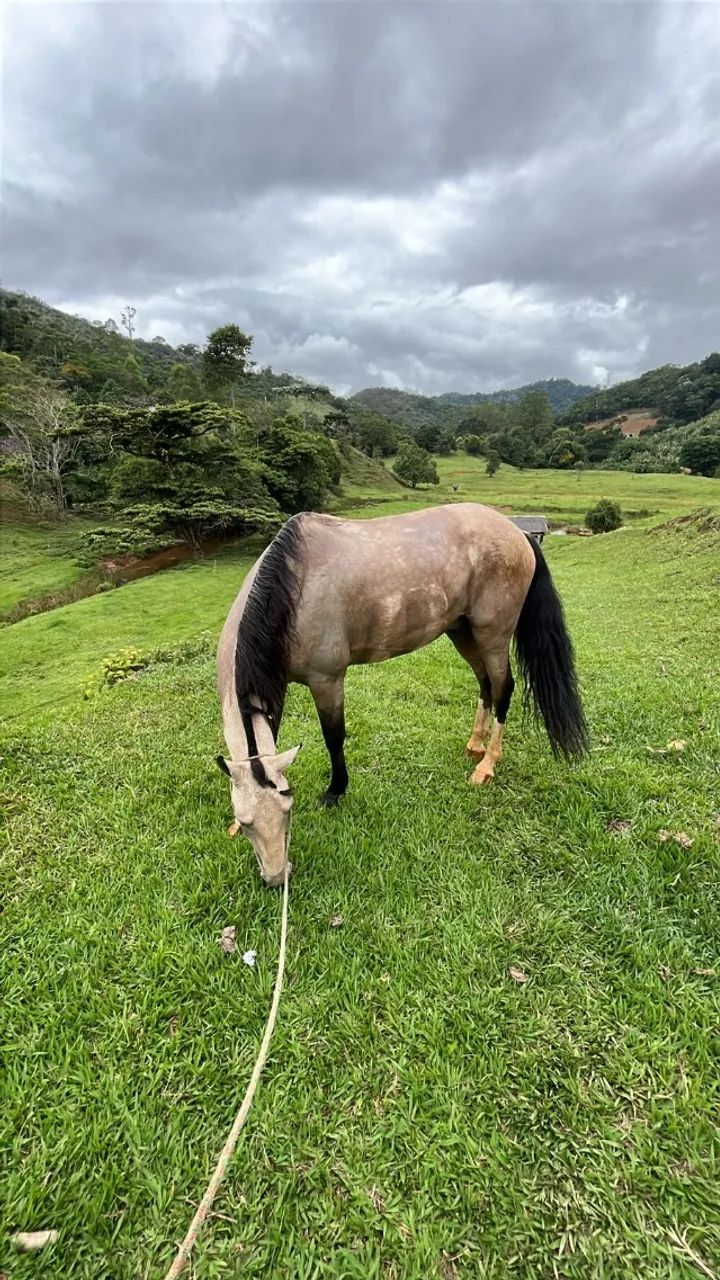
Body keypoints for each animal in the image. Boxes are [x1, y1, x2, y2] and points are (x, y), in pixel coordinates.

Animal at [216, 503, 587, 886]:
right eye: (246, 822)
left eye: (288, 811)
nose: (277, 878)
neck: (293, 587)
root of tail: (518, 533)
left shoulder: (327, 680)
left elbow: (334, 737)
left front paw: (336, 791)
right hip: (462, 631)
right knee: (485, 683)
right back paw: (475, 744)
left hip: (493, 634)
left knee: (502, 688)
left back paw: (486, 765)